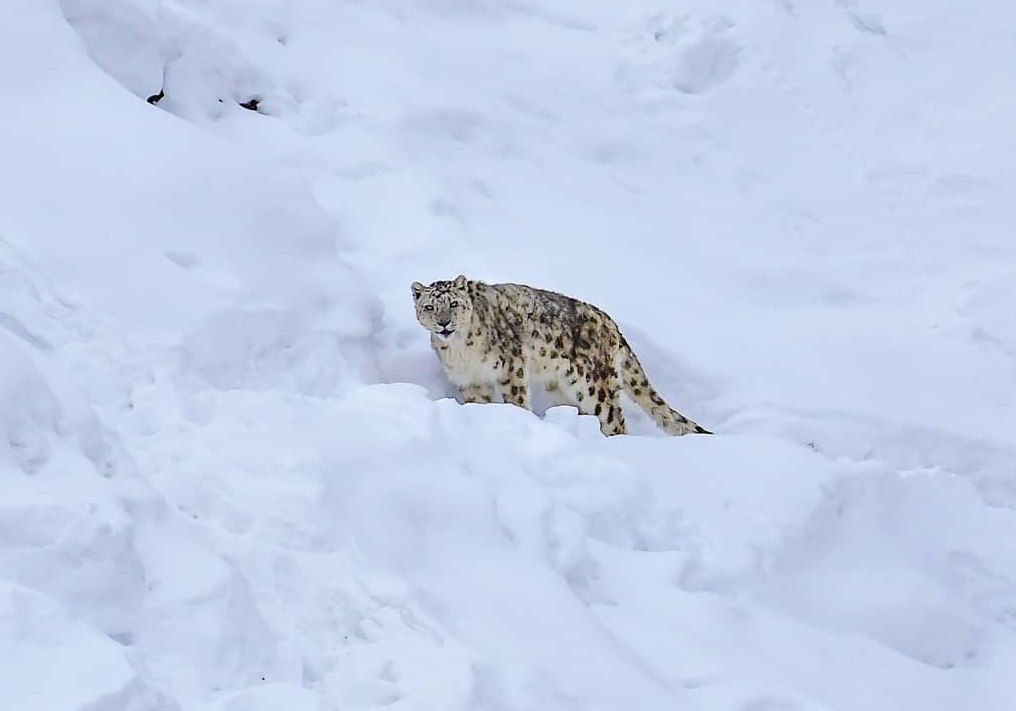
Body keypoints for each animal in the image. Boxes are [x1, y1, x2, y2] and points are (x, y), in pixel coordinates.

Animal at [411, 275, 710, 436]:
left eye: (453, 303)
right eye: (429, 307)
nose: (444, 324)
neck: (463, 352)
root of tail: (612, 326)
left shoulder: (511, 368)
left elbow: (517, 400)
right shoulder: (471, 381)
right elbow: (480, 403)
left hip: (596, 386)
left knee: (614, 419)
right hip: (562, 387)